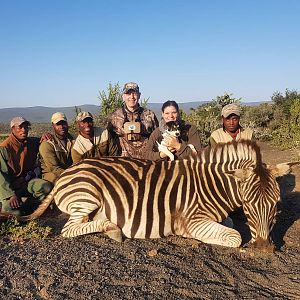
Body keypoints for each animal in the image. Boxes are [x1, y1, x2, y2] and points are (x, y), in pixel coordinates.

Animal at [10, 140, 294, 251]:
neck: (211, 186)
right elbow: (235, 236)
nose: (264, 249)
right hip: (87, 194)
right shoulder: (194, 220)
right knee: (68, 229)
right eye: (247, 205)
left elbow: (231, 222)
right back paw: (111, 229)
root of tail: (67, 172)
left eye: (276, 206)